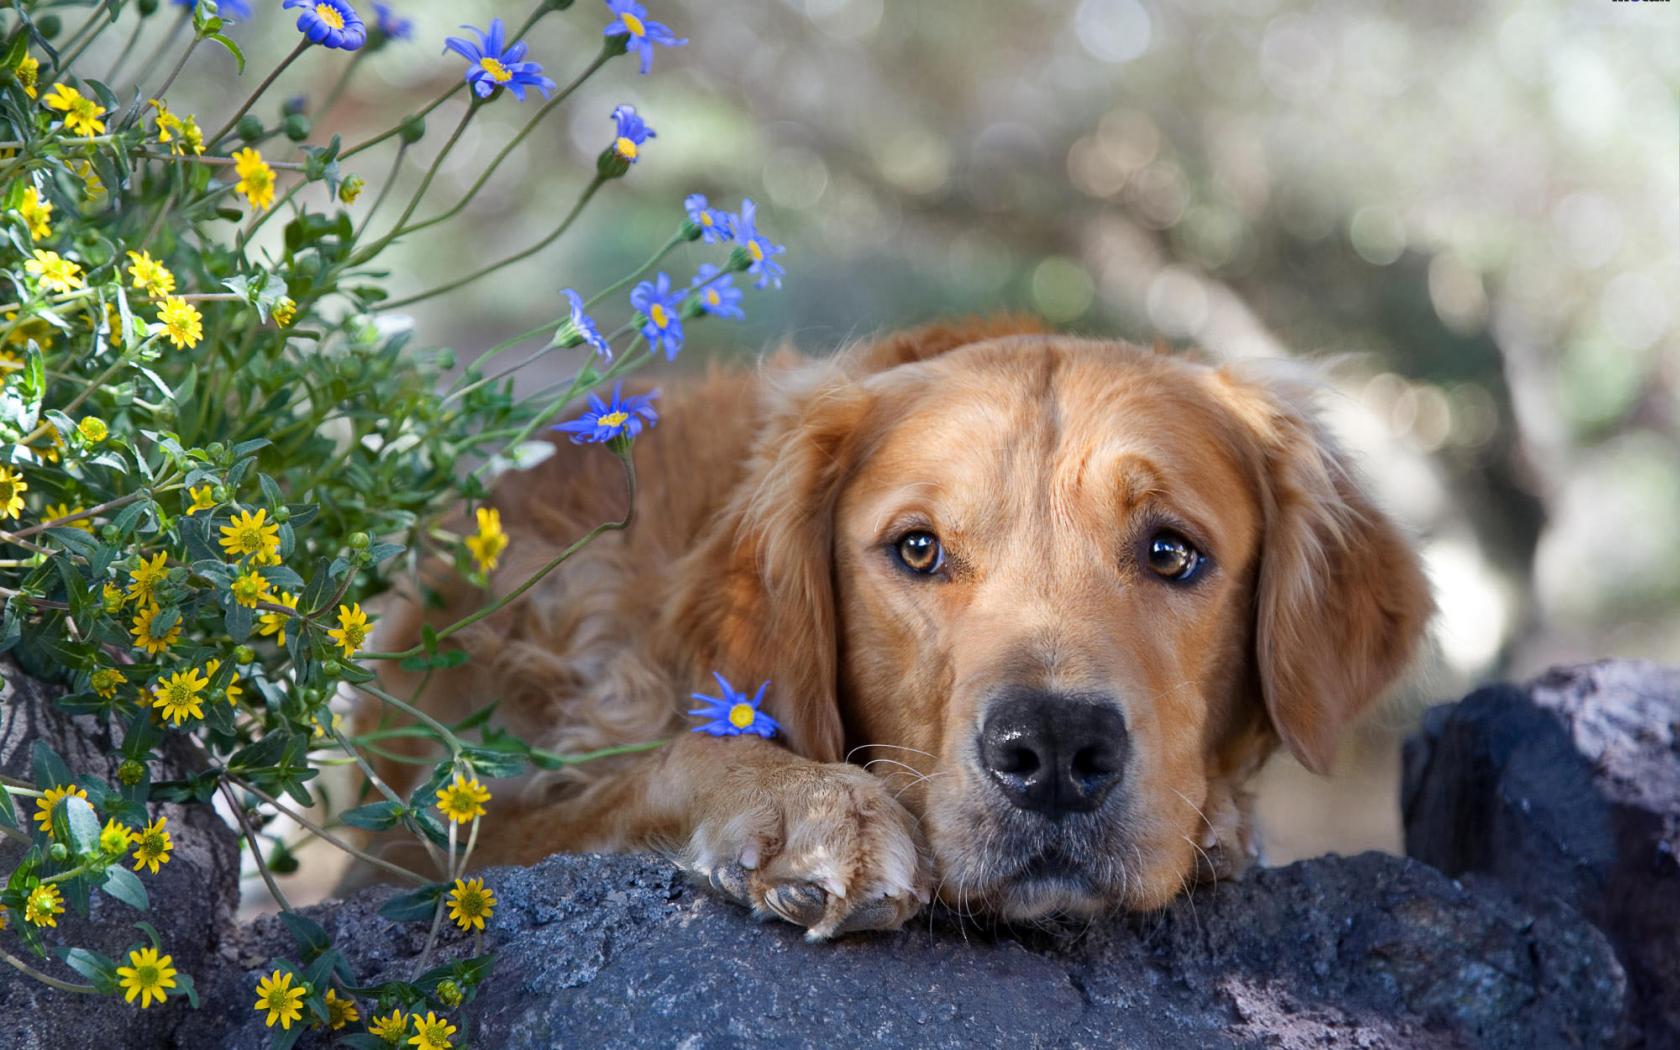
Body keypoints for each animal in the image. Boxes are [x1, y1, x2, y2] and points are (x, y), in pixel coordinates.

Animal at [367, 315, 1431, 940]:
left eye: (1171, 552)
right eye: (918, 549)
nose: (1053, 750)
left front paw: (1219, 823)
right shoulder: (434, 842)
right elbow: (658, 764)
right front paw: (804, 804)